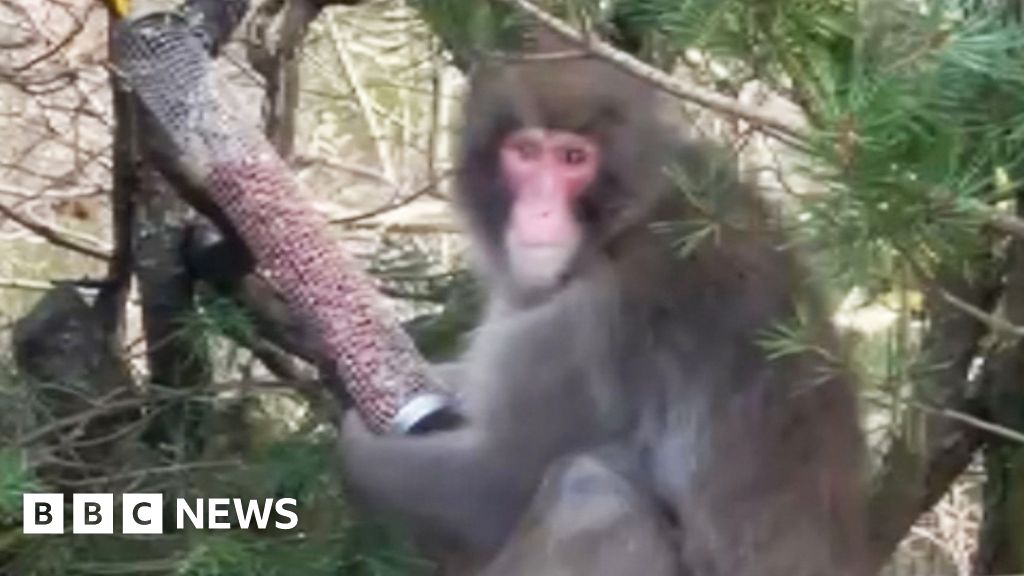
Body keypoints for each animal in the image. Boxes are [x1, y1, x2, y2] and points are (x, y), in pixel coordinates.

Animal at [340, 54, 867, 576]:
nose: (540, 211)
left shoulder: (581, 325)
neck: (619, 227)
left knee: (592, 493)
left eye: (574, 158)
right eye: (525, 152)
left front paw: (351, 436)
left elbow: (493, 482)